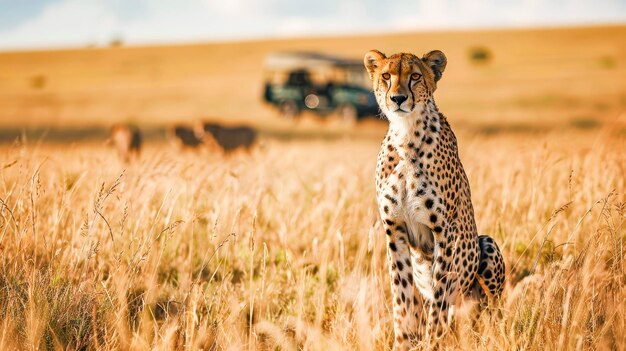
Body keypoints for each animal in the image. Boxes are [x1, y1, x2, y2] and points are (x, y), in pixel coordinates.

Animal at [364, 49, 504, 350]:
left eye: (415, 76)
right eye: (386, 75)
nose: (398, 98)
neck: (406, 135)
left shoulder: (445, 232)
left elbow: (440, 297)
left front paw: (432, 342)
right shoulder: (394, 231)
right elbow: (402, 296)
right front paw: (404, 341)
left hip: (486, 246)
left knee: (490, 313)